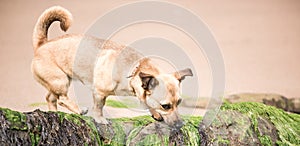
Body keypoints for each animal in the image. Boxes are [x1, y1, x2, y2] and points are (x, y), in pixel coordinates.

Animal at [32, 6, 192, 127]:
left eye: (179, 102)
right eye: (166, 106)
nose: (180, 125)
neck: (133, 71)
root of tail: (42, 44)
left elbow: (146, 102)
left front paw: (155, 114)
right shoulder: (99, 93)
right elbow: (99, 107)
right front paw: (100, 120)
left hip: (57, 82)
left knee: (50, 98)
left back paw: (54, 113)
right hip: (61, 81)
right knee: (62, 99)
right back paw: (79, 110)